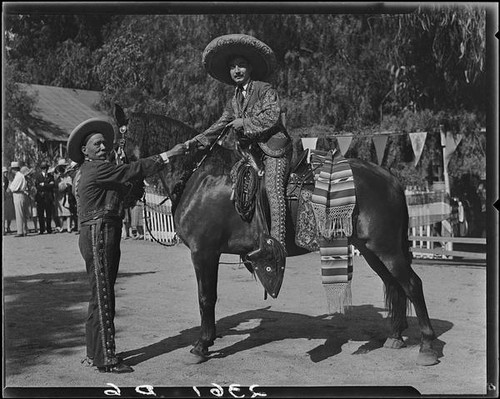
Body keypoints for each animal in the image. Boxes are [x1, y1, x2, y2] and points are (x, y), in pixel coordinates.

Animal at [116, 105, 438, 366]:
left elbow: (206, 297)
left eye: (115, 145)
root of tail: (390, 178)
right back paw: (395, 336)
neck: (202, 175)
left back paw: (427, 346)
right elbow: (207, 297)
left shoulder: (204, 252)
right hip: (372, 250)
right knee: (394, 285)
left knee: (412, 284)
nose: (123, 193)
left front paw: (201, 345)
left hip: (386, 248)